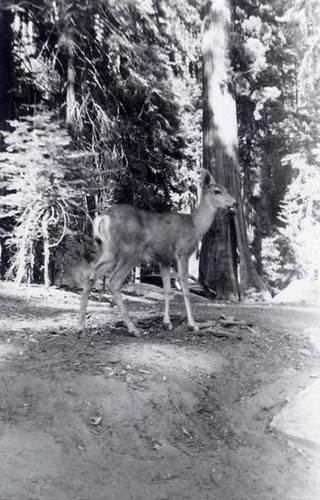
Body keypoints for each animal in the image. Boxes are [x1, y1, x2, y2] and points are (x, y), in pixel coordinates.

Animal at [79, 170, 236, 338]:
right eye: (217, 191)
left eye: (226, 189)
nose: (234, 203)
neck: (196, 226)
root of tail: (101, 218)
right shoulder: (182, 252)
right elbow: (185, 289)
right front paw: (193, 325)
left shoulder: (164, 259)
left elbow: (167, 289)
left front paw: (167, 323)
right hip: (130, 252)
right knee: (113, 281)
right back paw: (133, 328)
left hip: (108, 251)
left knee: (90, 274)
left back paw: (81, 327)